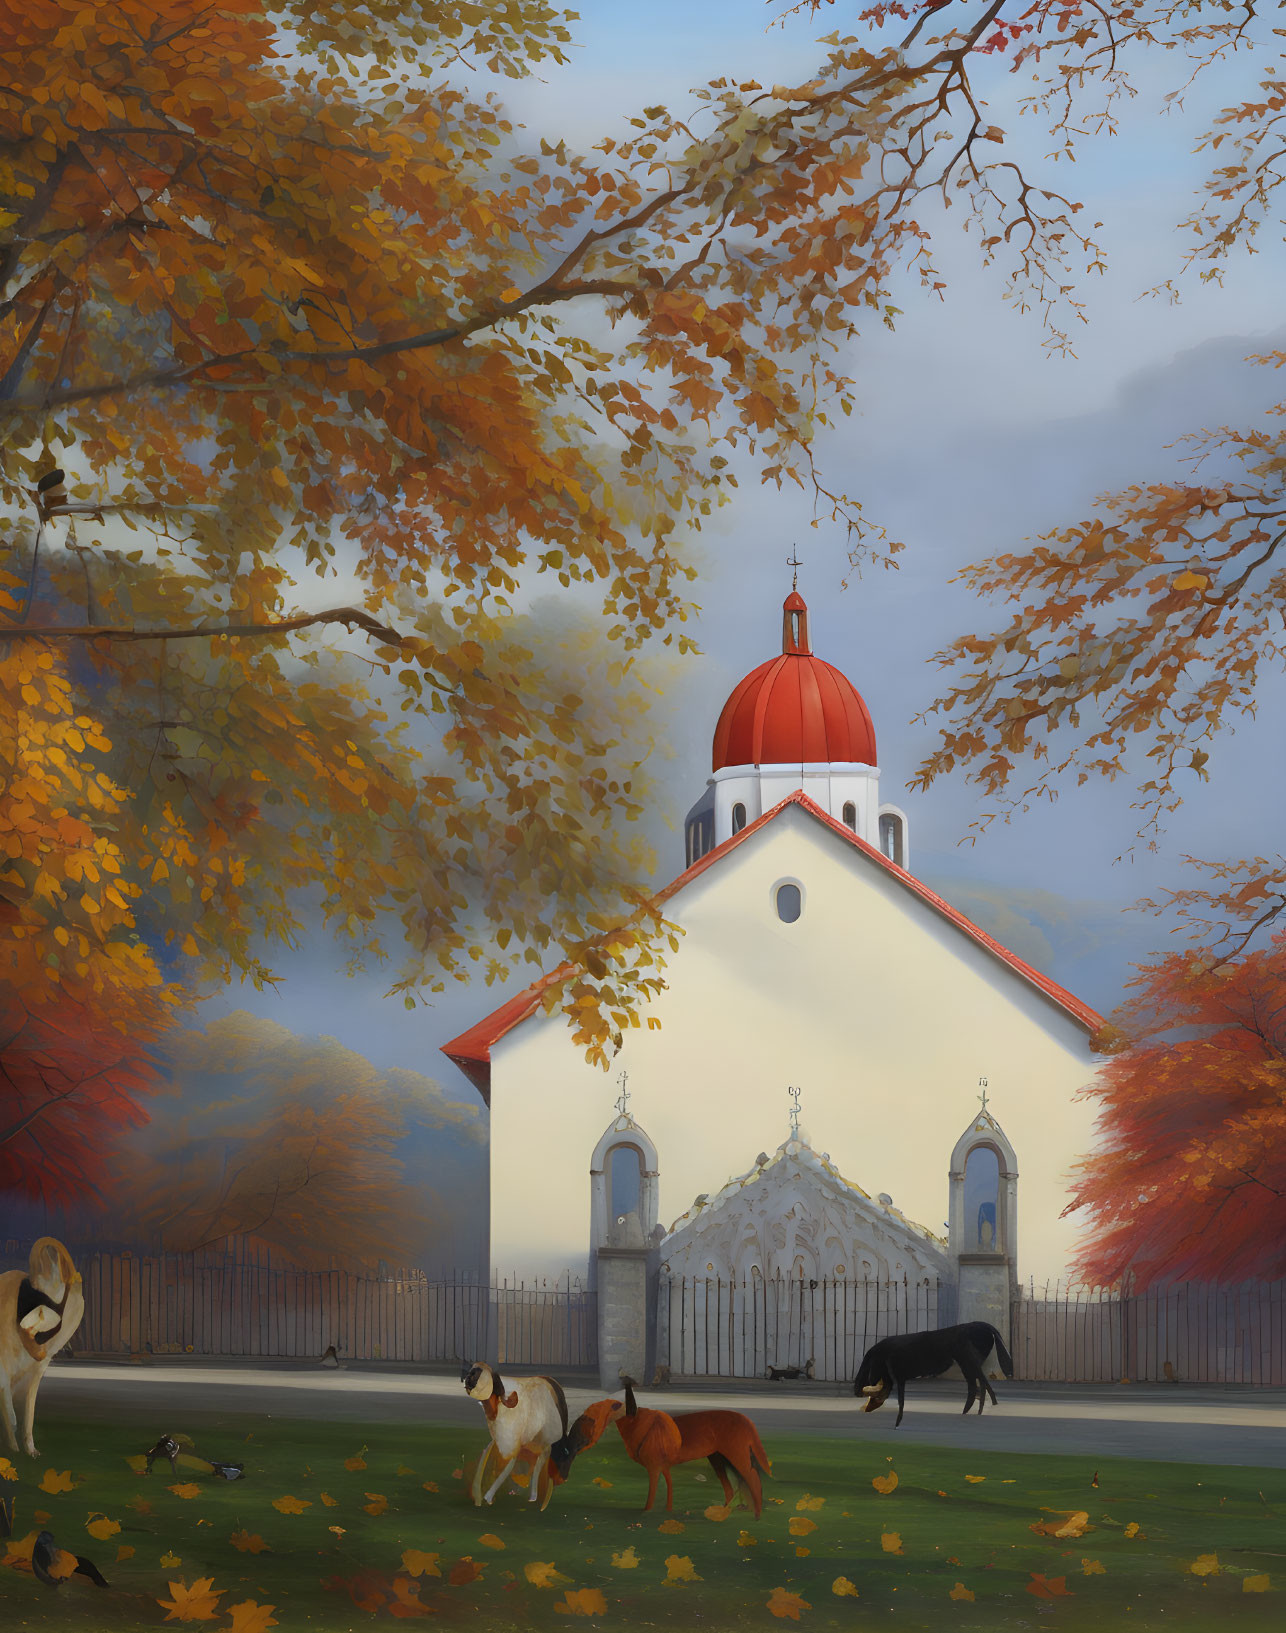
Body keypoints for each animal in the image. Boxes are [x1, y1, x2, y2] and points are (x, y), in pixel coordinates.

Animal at [0, 1234, 84, 1456]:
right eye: (32, 1294)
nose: (38, 1351)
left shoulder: (36, 1371)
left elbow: (28, 1412)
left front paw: (29, 1450)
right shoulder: (4, 1371)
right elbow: (11, 1415)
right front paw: (14, 1448)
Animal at [855, 1319, 1011, 1423]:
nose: (857, 1391)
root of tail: (984, 1326)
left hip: (968, 1362)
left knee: (978, 1384)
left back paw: (974, 1410)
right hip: (970, 1363)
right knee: (979, 1384)